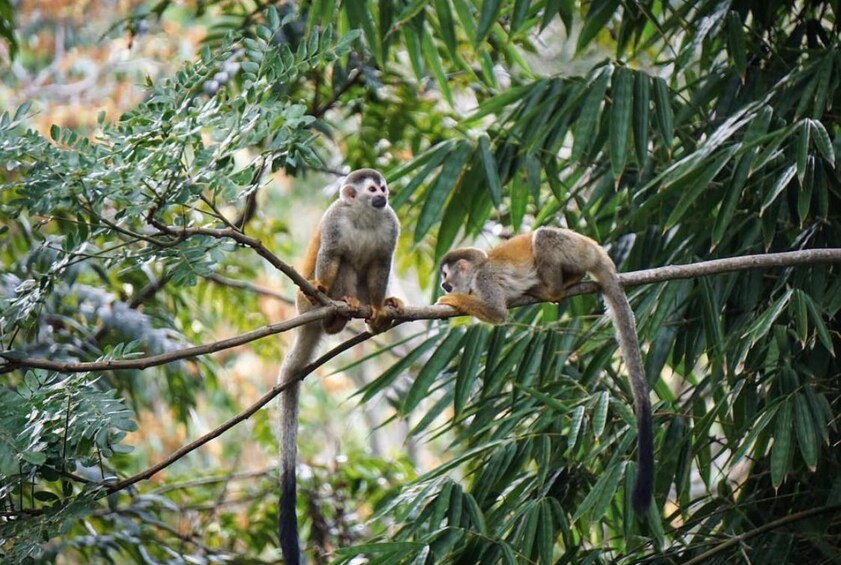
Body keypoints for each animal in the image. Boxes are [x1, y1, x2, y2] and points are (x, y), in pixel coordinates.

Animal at [276, 169, 400, 564]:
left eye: (383, 188)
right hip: (305, 302)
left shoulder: (391, 223)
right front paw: (324, 282)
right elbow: (331, 255)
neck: (364, 215)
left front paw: (378, 307)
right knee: (341, 261)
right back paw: (335, 311)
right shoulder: (335, 218)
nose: (383, 196)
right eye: (372, 189)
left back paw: (372, 315)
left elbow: (380, 266)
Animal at [436, 227, 652, 512]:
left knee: (544, 236)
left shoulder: (484, 280)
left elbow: (497, 313)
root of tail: (595, 248)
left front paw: (452, 299)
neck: (477, 271)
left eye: (445, 276)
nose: (443, 285)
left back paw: (554, 290)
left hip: (575, 250)